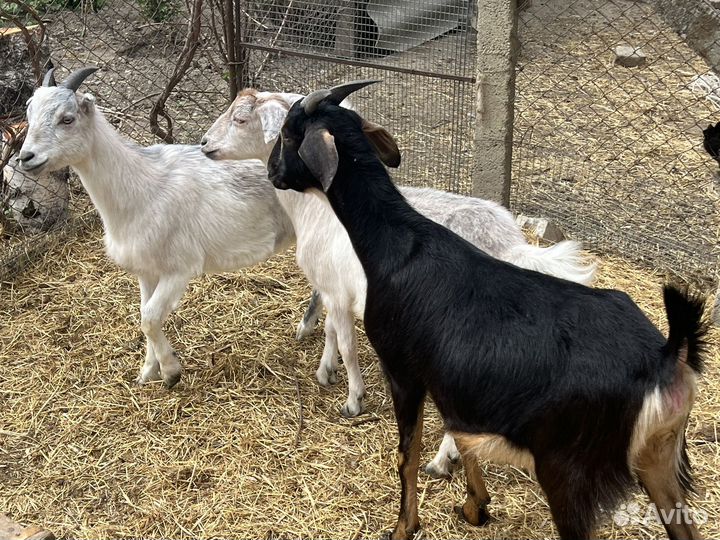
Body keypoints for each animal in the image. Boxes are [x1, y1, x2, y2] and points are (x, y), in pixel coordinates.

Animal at [17, 67, 295, 387]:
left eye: (67, 118)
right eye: (29, 112)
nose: (26, 157)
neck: (143, 187)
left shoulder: (180, 268)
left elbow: (149, 318)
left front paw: (171, 372)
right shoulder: (147, 269)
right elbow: (145, 313)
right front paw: (148, 372)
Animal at [201, 88, 596, 478]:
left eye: (243, 119)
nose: (204, 144)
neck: (318, 209)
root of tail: (510, 243)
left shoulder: (337, 292)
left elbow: (346, 344)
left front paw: (353, 400)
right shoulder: (333, 288)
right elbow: (331, 331)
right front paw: (325, 371)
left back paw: (442, 460)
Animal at [266, 80, 708, 540]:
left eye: (288, 133)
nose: (272, 172)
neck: (398, 247)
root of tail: (666, 359)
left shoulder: (404, 369)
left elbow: (408, 452)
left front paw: (405, 525)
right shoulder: (451, 379)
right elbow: (461, 435)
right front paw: (476, 504)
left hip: (569, 470)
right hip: (658, 462)